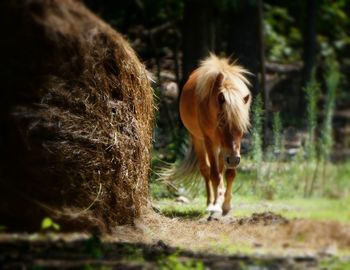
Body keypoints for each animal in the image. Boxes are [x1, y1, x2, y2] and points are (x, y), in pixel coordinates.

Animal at [163, 53, 250, 214]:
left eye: (242, 127)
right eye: (221, 123)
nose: (233, 159)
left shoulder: (232, 149)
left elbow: (230, 174)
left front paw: (226, 205)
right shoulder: (210, 141)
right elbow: (214, 174)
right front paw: (215, 205)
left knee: (220, 170)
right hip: (199, 139)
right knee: (206, 169)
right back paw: (210, 202)